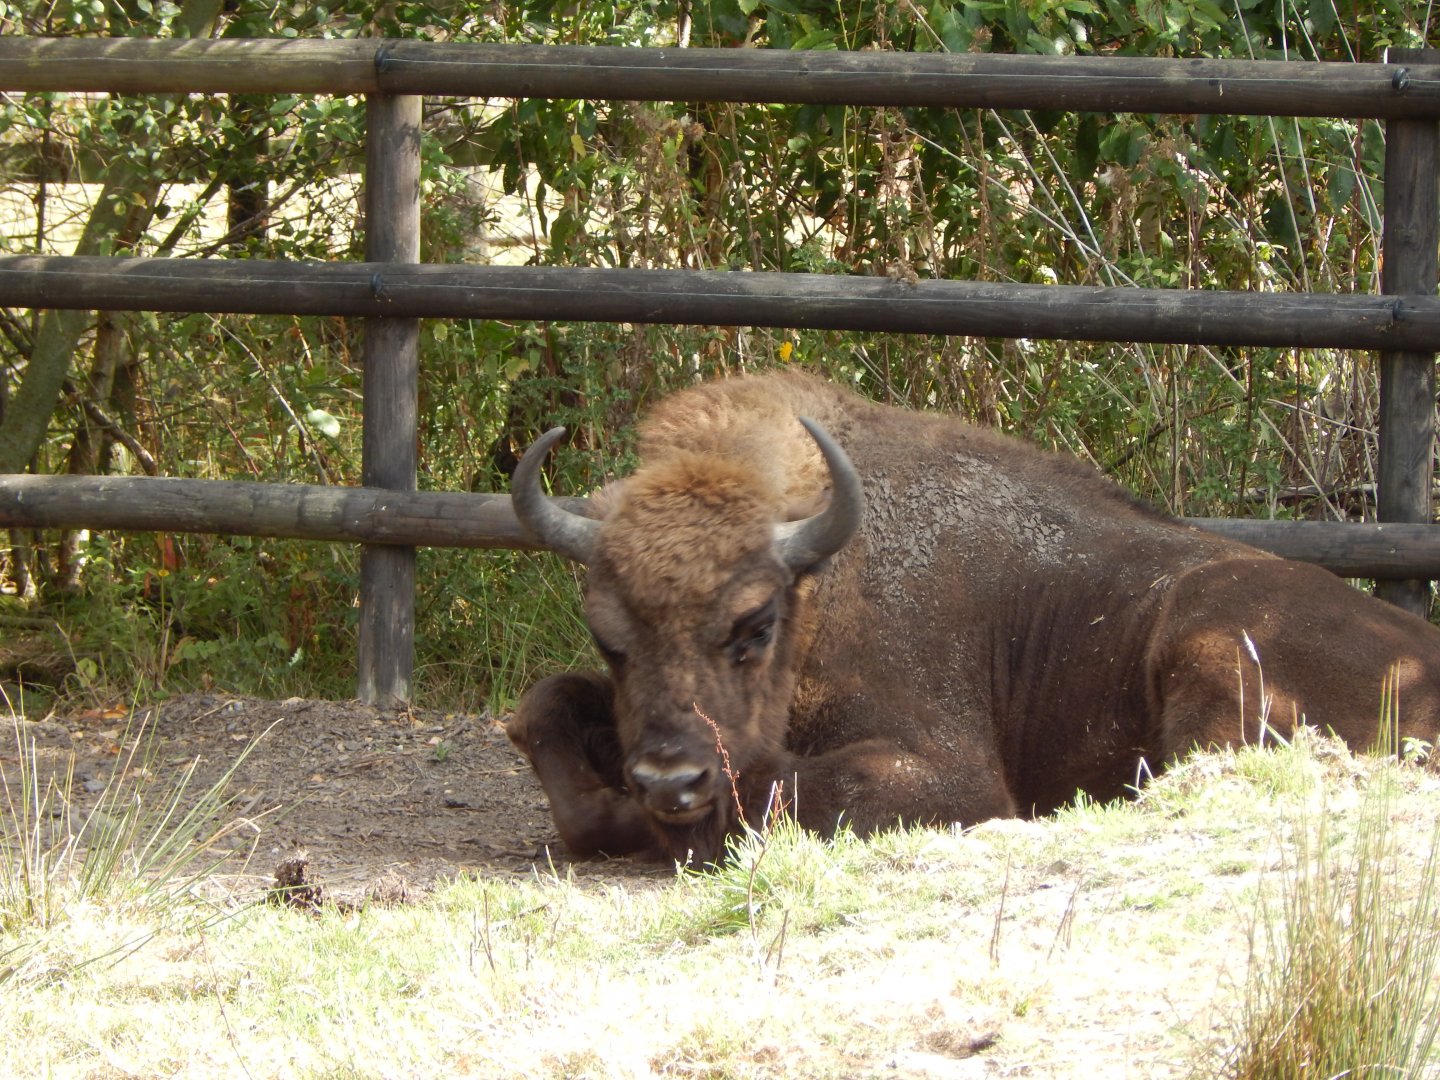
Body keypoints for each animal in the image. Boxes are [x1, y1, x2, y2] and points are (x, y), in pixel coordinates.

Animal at [505, 370, 1440, 865]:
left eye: (754, 624)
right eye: (610, 639)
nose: (670, 779)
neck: (826, 582)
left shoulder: (946, 773)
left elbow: (777, 788)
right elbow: (544, 704)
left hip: (1209, 638)